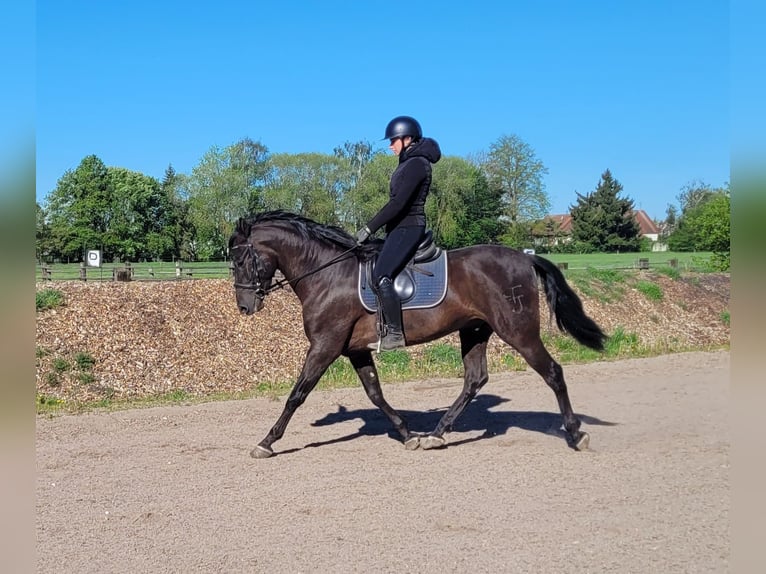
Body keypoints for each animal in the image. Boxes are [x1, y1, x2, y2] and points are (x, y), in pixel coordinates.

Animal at [228, 210, 607, 458]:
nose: (245, 306)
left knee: (552, 372)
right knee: (474, 379)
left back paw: (575, 434)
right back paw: (436, 435)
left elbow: (297, 394)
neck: (327, 274)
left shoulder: (325, 346)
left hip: (518, 332)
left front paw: (267, 441)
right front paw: (407, 433)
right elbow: (375, 394)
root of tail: (526, 259)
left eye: (240, 261)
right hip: (474, 331)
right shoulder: (355, 350)